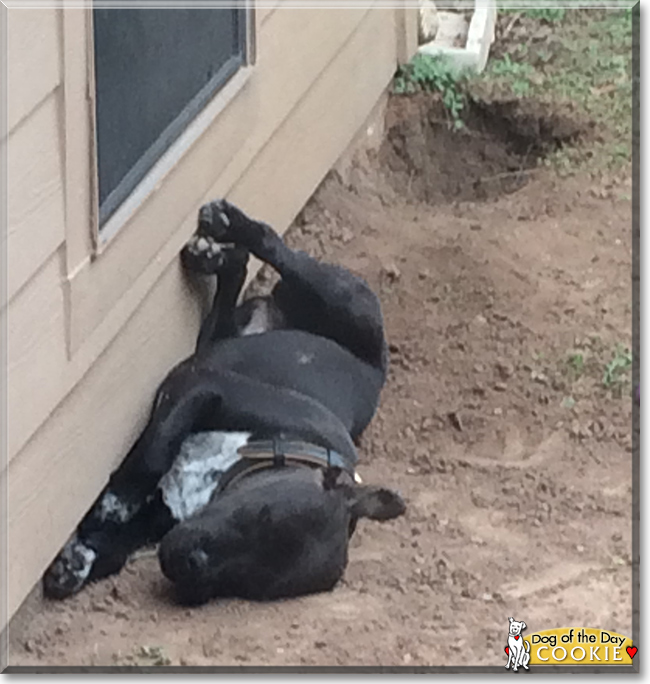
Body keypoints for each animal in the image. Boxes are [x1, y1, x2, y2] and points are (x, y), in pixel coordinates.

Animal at [43, 198, 402, 604]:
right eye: (261, 514)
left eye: (251, 585)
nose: (188, 565)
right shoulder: (199, 387)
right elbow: (150, 459)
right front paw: (110, 508)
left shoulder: (160, 513)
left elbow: (116, 546)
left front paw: (81, 559)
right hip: (342, 299)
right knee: (277, 248)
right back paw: (230, 225)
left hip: (220, 337)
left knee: (238, 273)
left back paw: (217, 254)